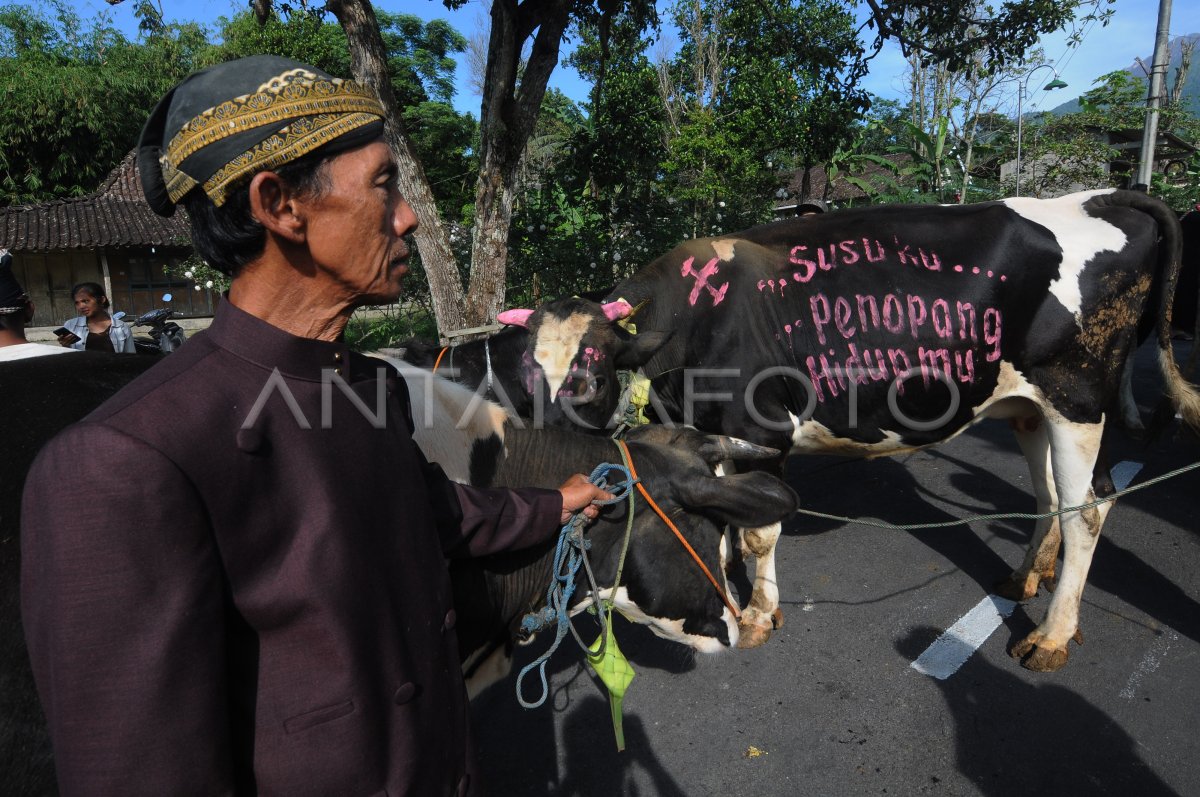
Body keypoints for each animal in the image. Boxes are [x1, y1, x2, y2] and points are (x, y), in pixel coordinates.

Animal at [504, 189, 1200, 667]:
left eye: (592, 375)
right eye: (525, 377)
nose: (549, 464)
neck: (692, 327)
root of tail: (1094, 196)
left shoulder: (763, 426)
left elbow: (758, 534)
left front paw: (757, 614)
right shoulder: (713, 431)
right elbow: (725, 519)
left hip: (1077, 398)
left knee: (1089, 509)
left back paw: (1051, 636)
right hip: (1027, 405)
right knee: (1052, 498)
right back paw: (1026, 577)